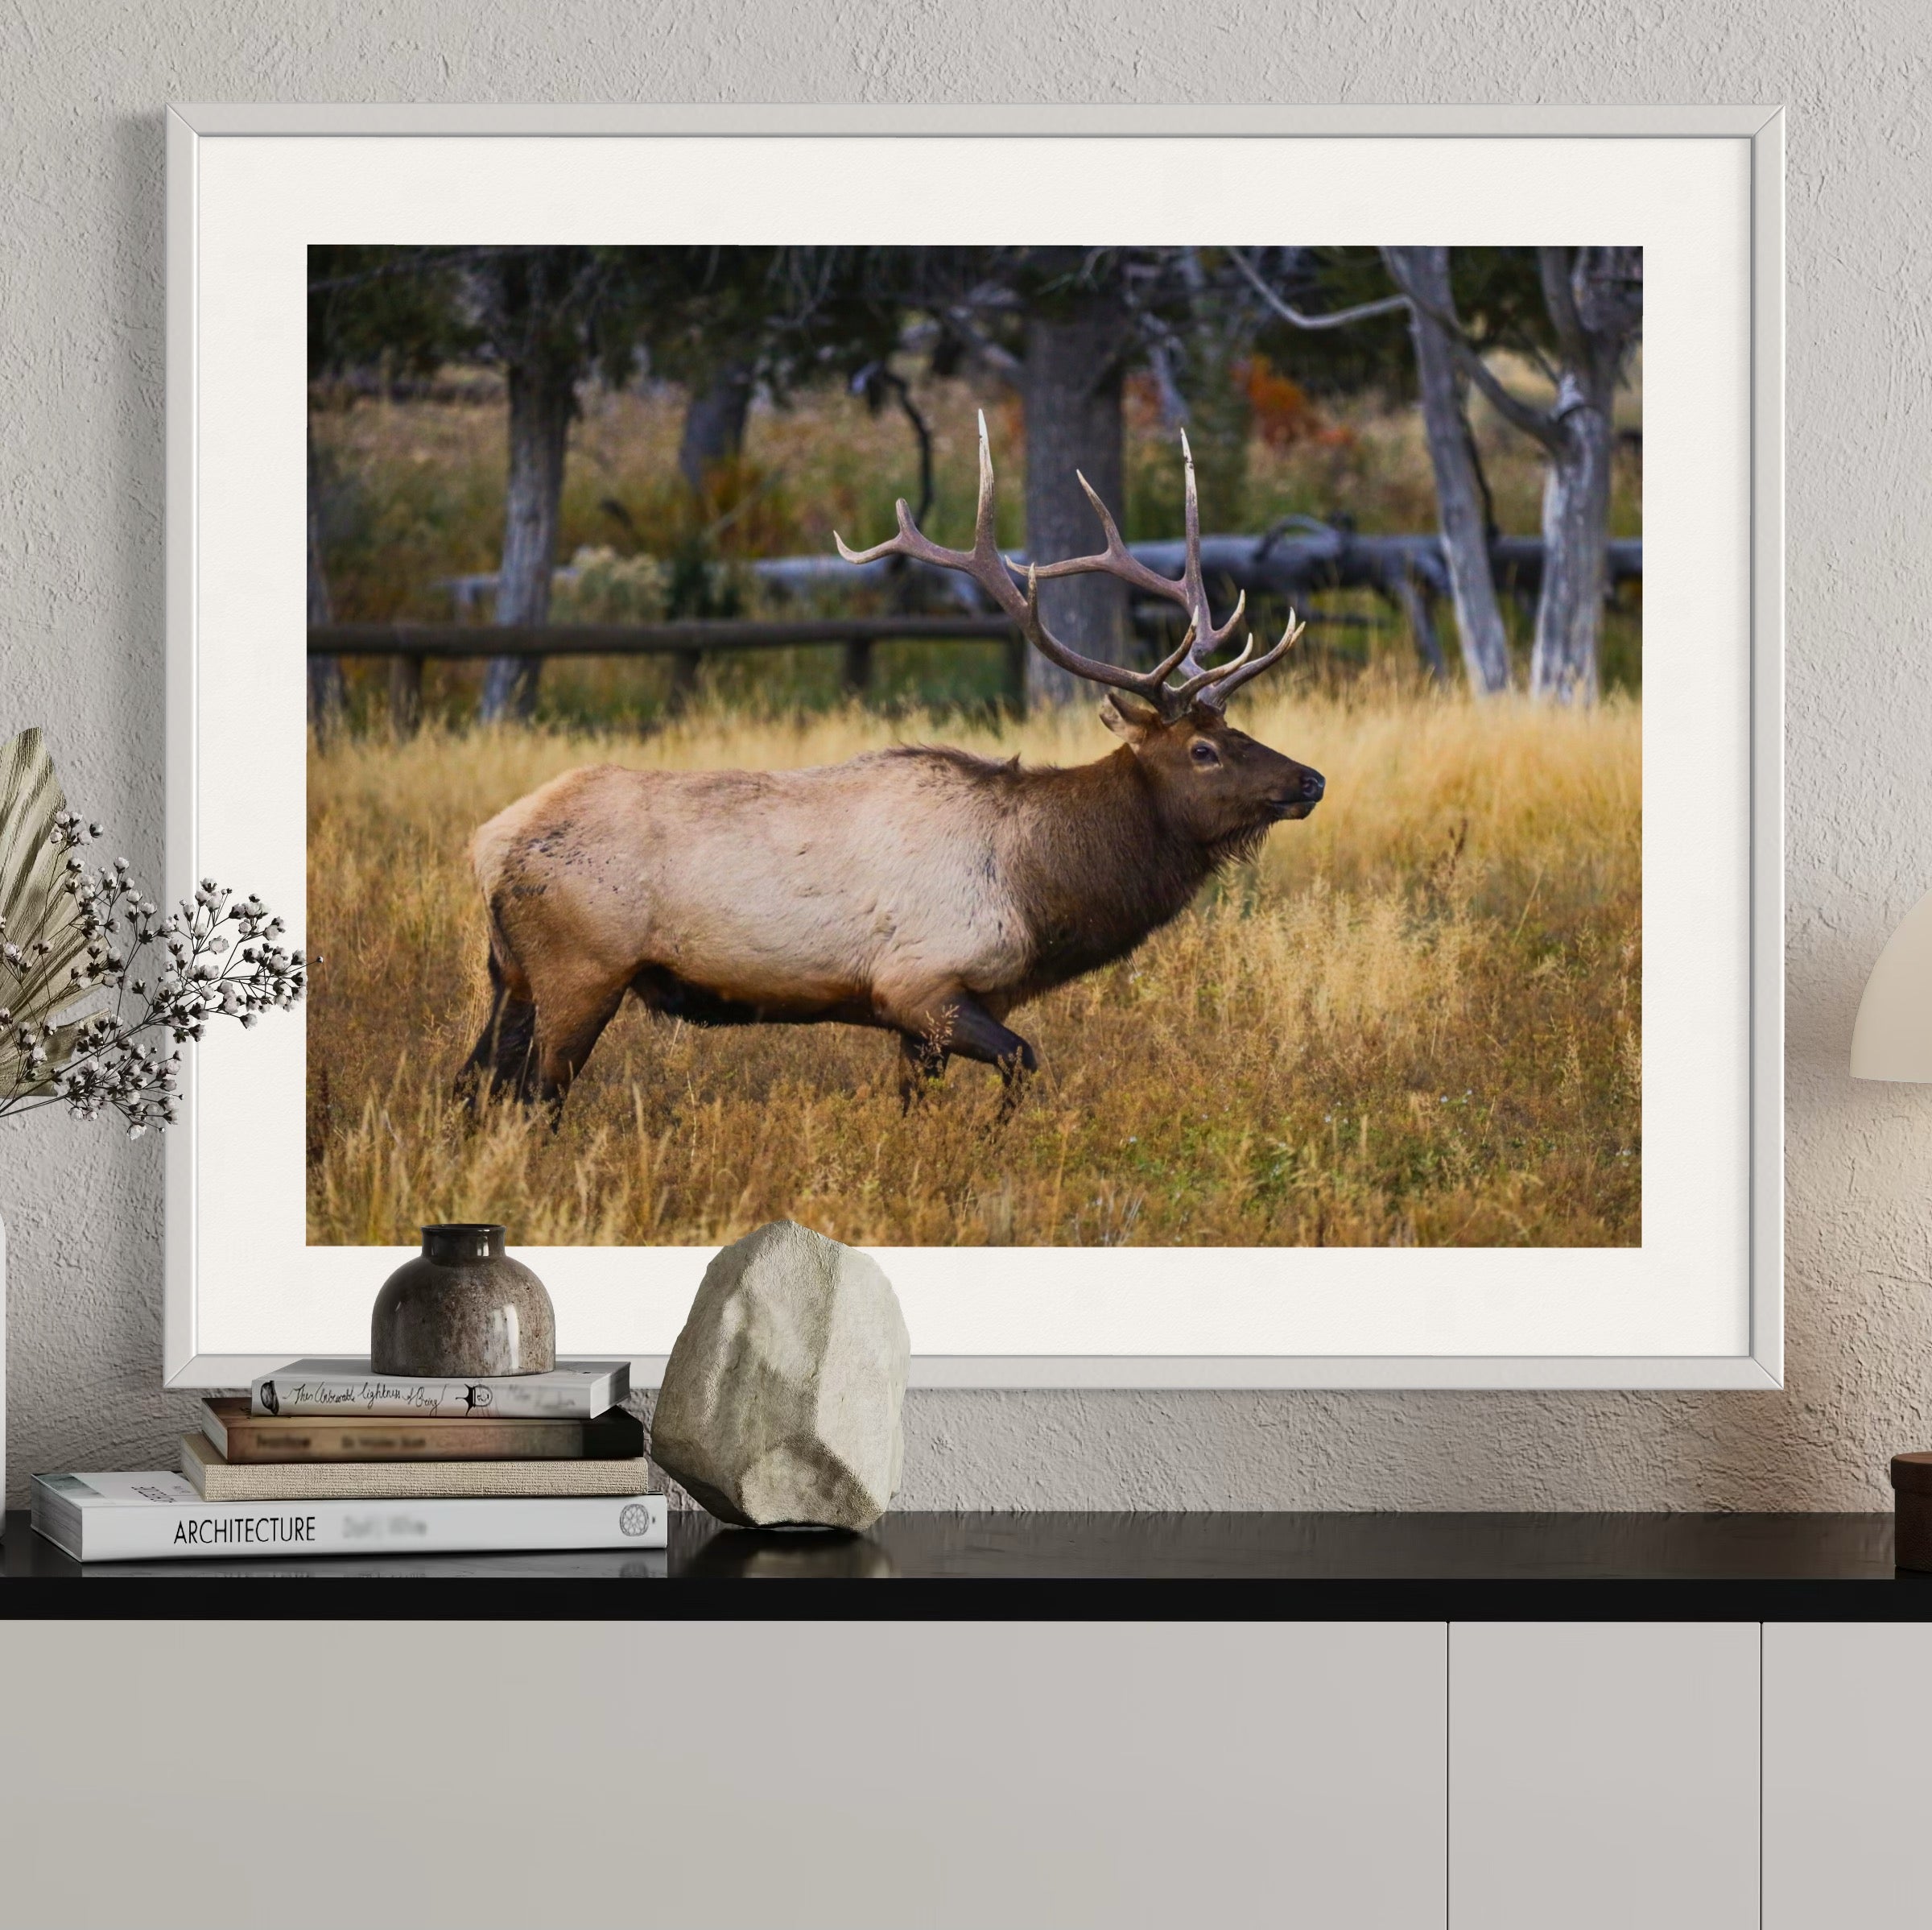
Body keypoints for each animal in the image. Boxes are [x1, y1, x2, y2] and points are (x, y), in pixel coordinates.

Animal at [460, 415, 1324, 1116]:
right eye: (1202, 750)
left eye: (1236, 728)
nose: (1309, 780)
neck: (1039, 889)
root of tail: (488, 844)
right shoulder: (922, 984)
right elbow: (1023, 1062)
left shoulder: (927, 1016)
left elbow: (918, 1104)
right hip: (579, 969)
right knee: (531, 1097)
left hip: (511, 974)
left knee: (473, 1086)